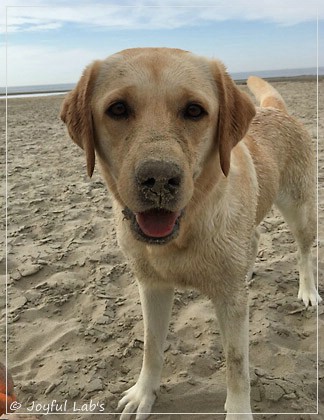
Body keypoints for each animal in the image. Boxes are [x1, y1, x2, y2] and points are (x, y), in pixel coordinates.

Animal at [60, 47, 322, 418]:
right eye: (118, 109)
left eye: (195, 110)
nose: (158, 179)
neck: (184, 230)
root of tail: (275, 110)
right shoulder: (151, 286)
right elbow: (151, 346)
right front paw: (144, 393)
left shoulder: (231, 303)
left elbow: (237, 365)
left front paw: (238, 411)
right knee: (254, 238)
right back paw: (249, 269)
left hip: (300, 209)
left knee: (304, 250)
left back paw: (308, 290)